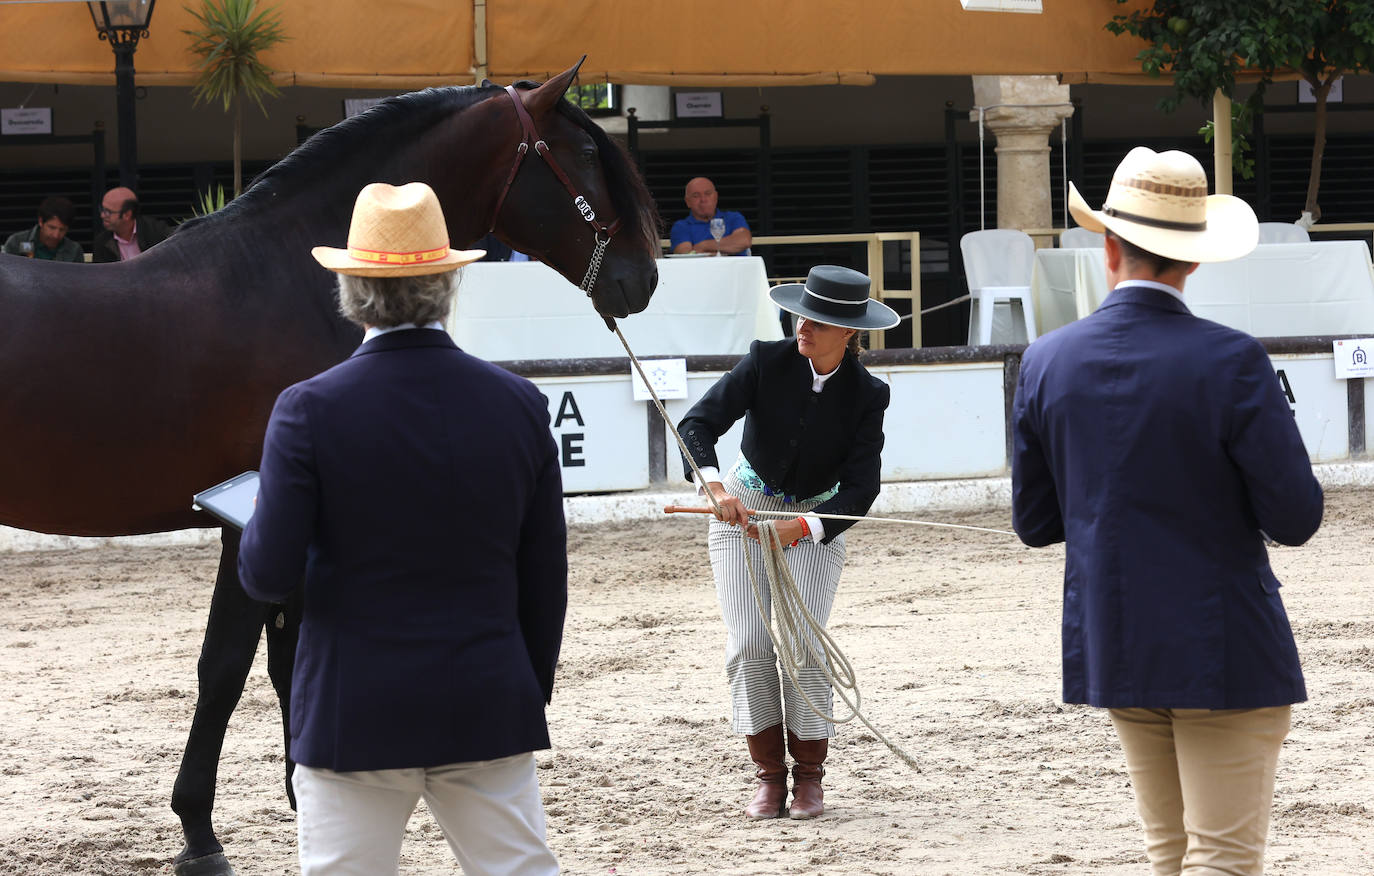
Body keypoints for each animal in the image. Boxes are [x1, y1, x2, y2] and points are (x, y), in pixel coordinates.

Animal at [0, 63, 659, 876]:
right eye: (591, 156)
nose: (644, 278)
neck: (278, 279)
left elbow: (286, 659)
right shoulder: (252, 518)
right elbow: (226, 667)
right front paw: (201, 833)